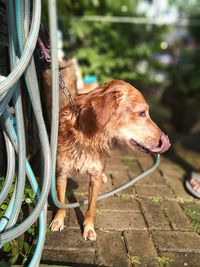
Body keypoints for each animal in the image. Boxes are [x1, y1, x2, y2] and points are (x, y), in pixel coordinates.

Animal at [50, 80, 170, 242]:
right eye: (141, 113)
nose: (165, 141)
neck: (88, 138)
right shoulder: (61, 174)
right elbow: (61, 201)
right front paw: (58, 220)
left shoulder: (94, 178)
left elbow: (91, 207)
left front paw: (89, 228)